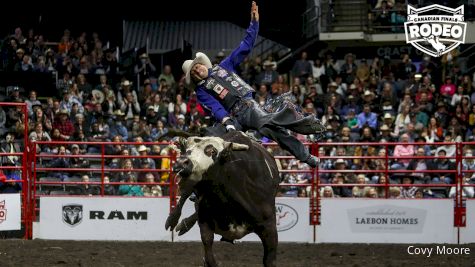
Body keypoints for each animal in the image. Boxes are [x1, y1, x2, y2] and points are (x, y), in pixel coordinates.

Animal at [165, 132, 280, 267]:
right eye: (187, 148)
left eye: (212, 151)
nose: (181, 162)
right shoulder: (205, 222)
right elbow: (209, 256)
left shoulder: (269, 227)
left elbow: (269, 260)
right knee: (184, 195)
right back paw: (175, 221)